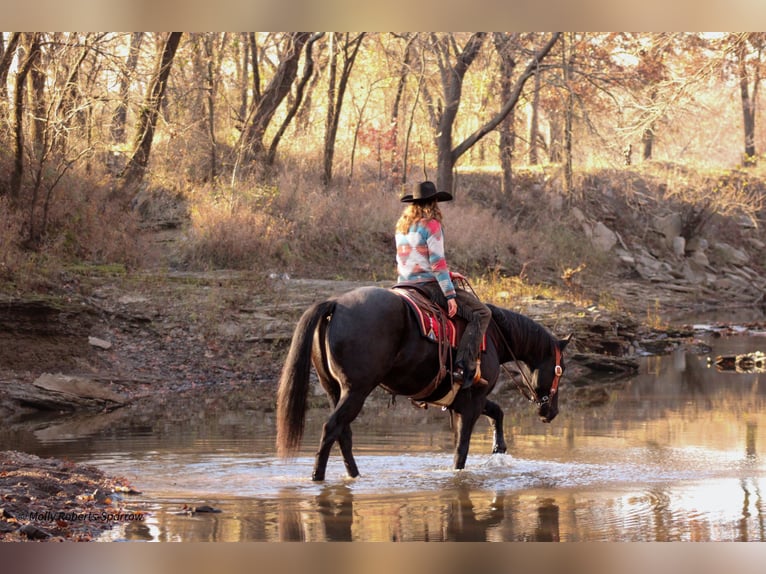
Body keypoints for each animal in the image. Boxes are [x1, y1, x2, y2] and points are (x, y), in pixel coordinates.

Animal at [276, 286, 568, 482]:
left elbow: (497, 411)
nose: (551, 412)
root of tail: (335, 303)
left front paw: (499, 448)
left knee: (342, 433)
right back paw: (317, 477)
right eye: (560, 370)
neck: (495, 335)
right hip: (356, 390)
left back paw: (355, 476)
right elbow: (461, 450)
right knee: (331, 428)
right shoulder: (472, 402)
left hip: (334, 390)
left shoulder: (465, 400)